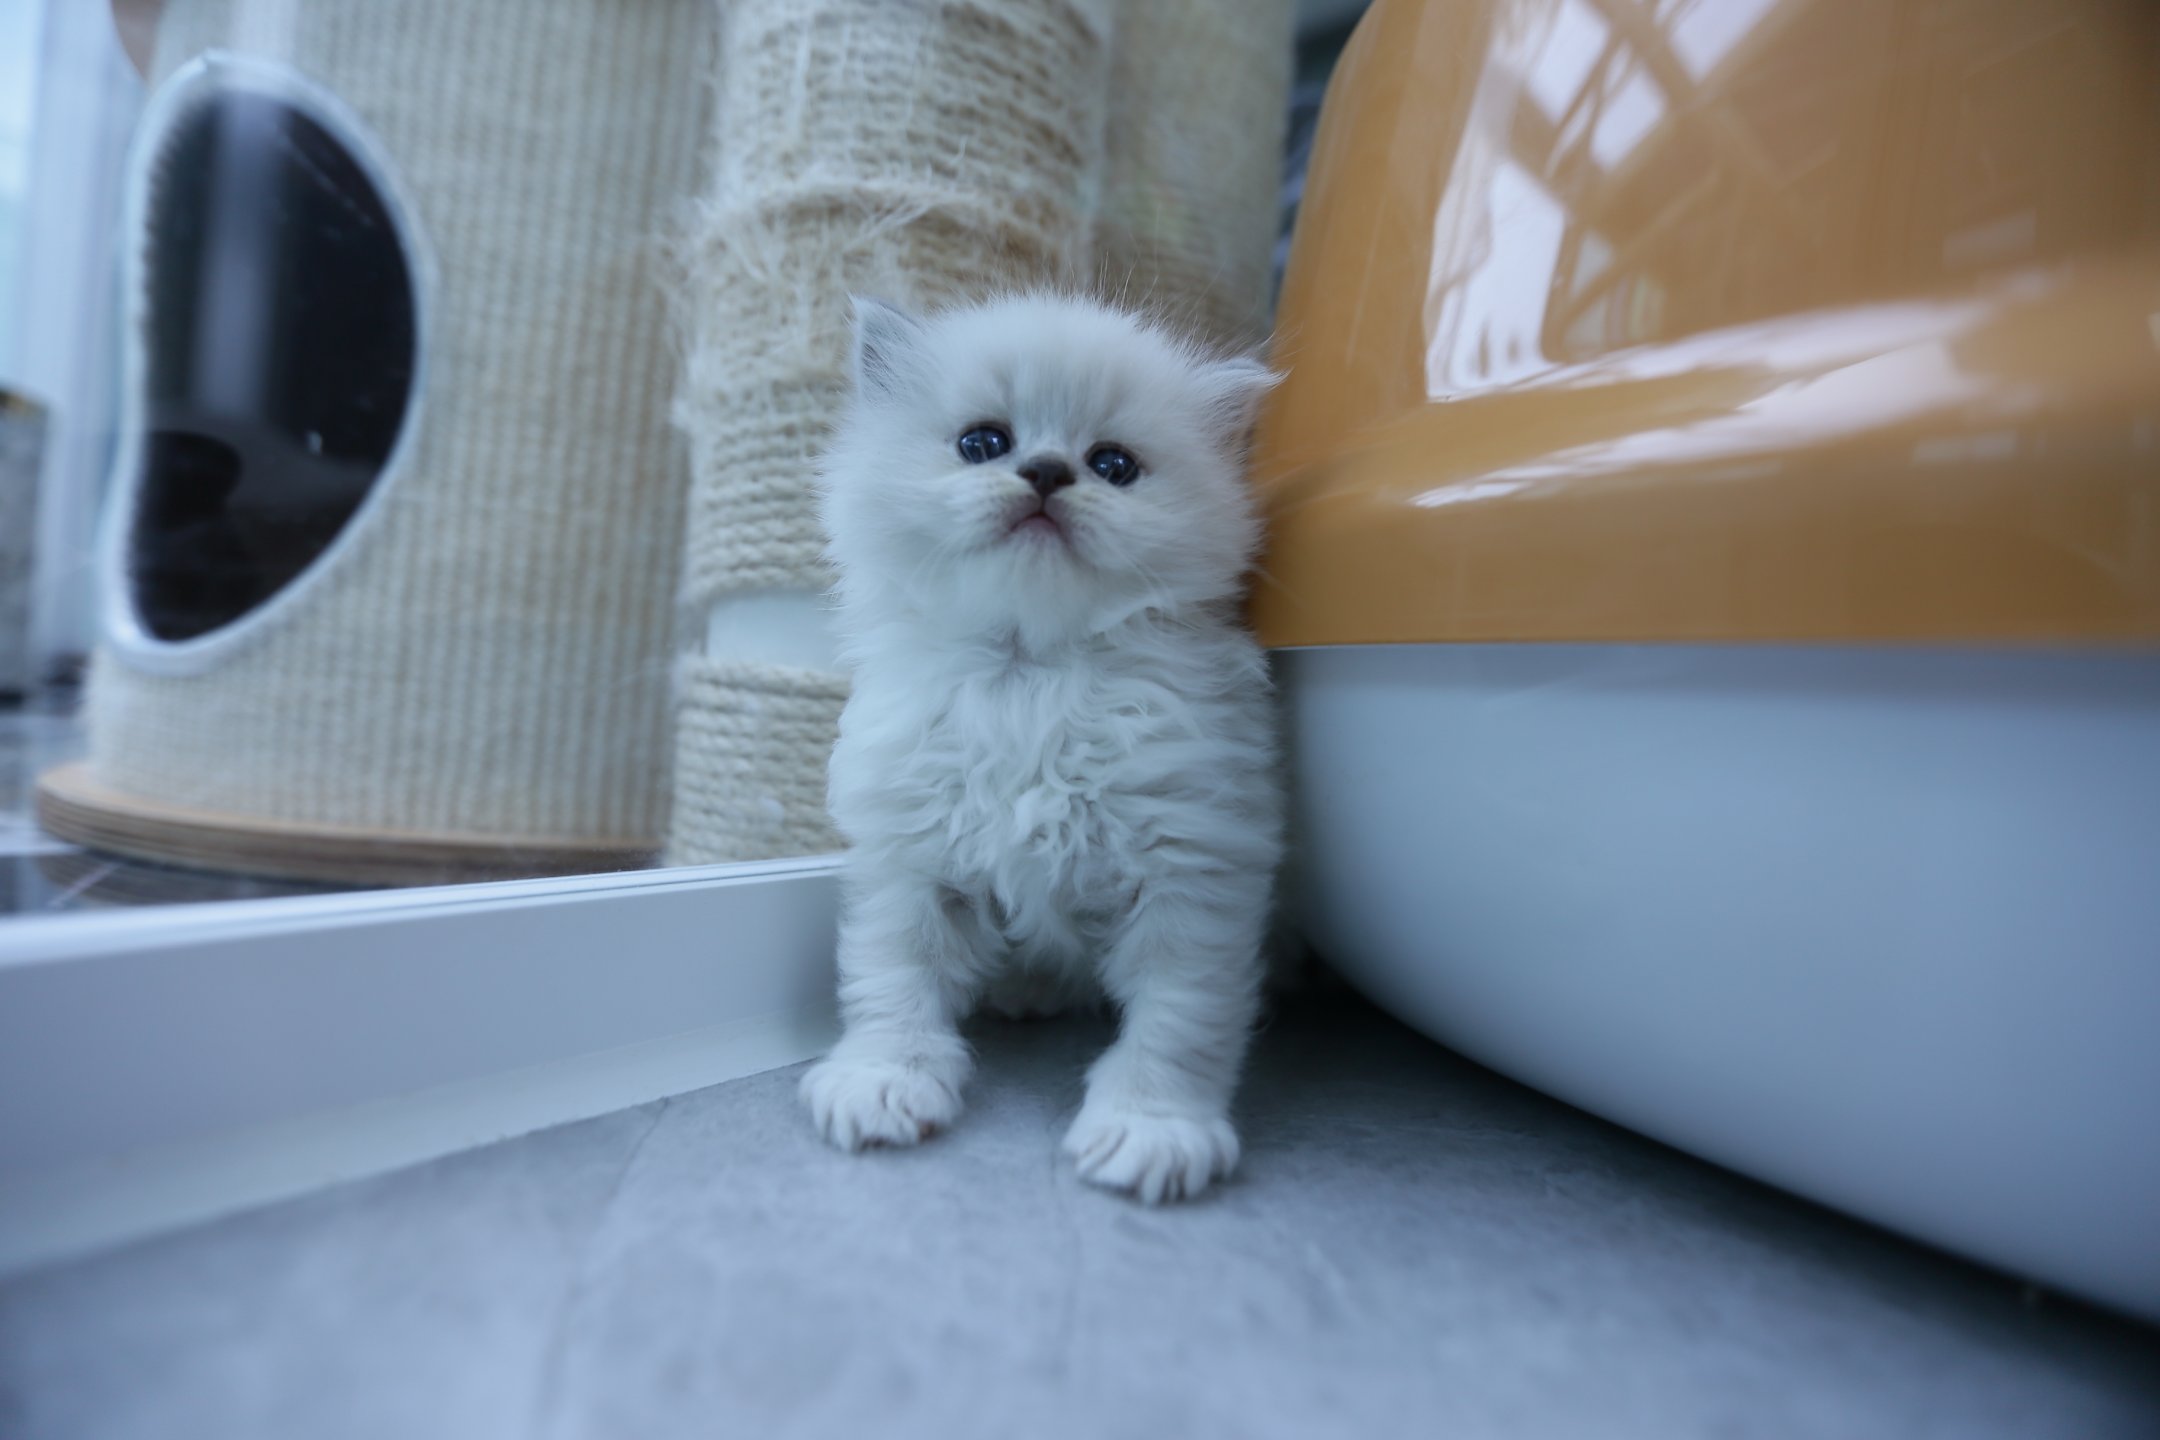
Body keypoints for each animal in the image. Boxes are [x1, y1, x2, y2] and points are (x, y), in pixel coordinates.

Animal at [800, 292, 1284, 1204]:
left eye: (1114, 465)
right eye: (982, 444)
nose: (1050, 472)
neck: (1027, 677)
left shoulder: (1193, 872)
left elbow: (1179, 1021)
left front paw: (1150, 1130)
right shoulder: (911, 865)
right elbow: (892, 980)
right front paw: (883, 1081)